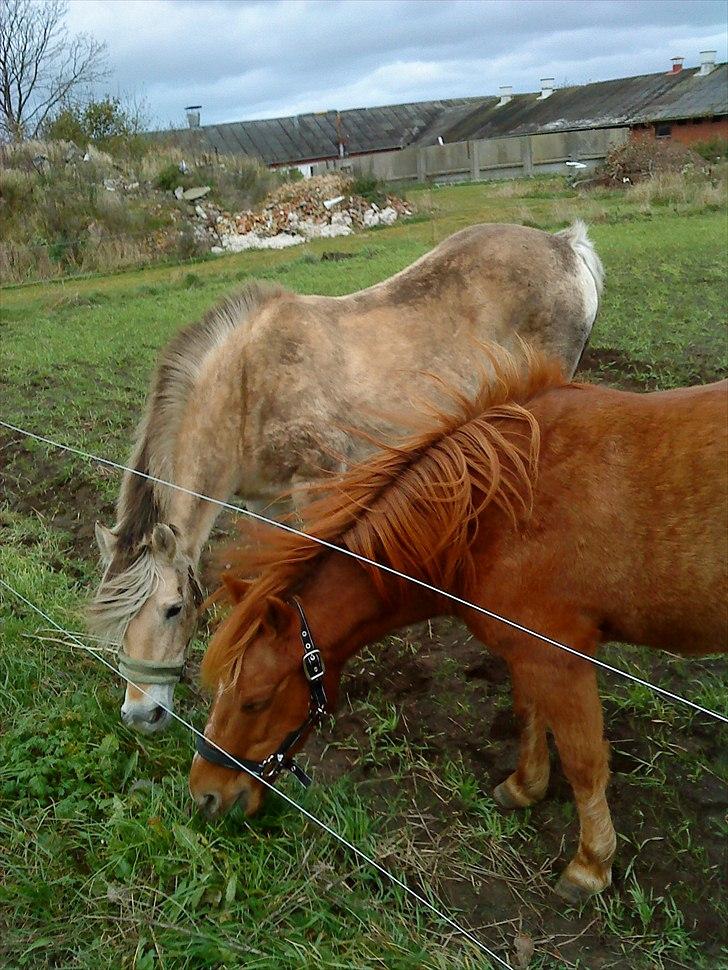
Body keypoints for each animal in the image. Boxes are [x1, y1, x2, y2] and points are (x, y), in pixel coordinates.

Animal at [89, 221, 603, 733]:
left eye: (172, 609)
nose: (140, 714)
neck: (247, 392)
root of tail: (564, 245)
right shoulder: (266, 500)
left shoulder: (315, 483)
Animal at [188, 347, 727, 902]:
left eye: (254, 701)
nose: (204, 795)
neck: (493, 511)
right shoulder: (526, 651)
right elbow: (528, 715)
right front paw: (524, 787)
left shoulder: (560, 658)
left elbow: (584, 761)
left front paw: (591, 864)